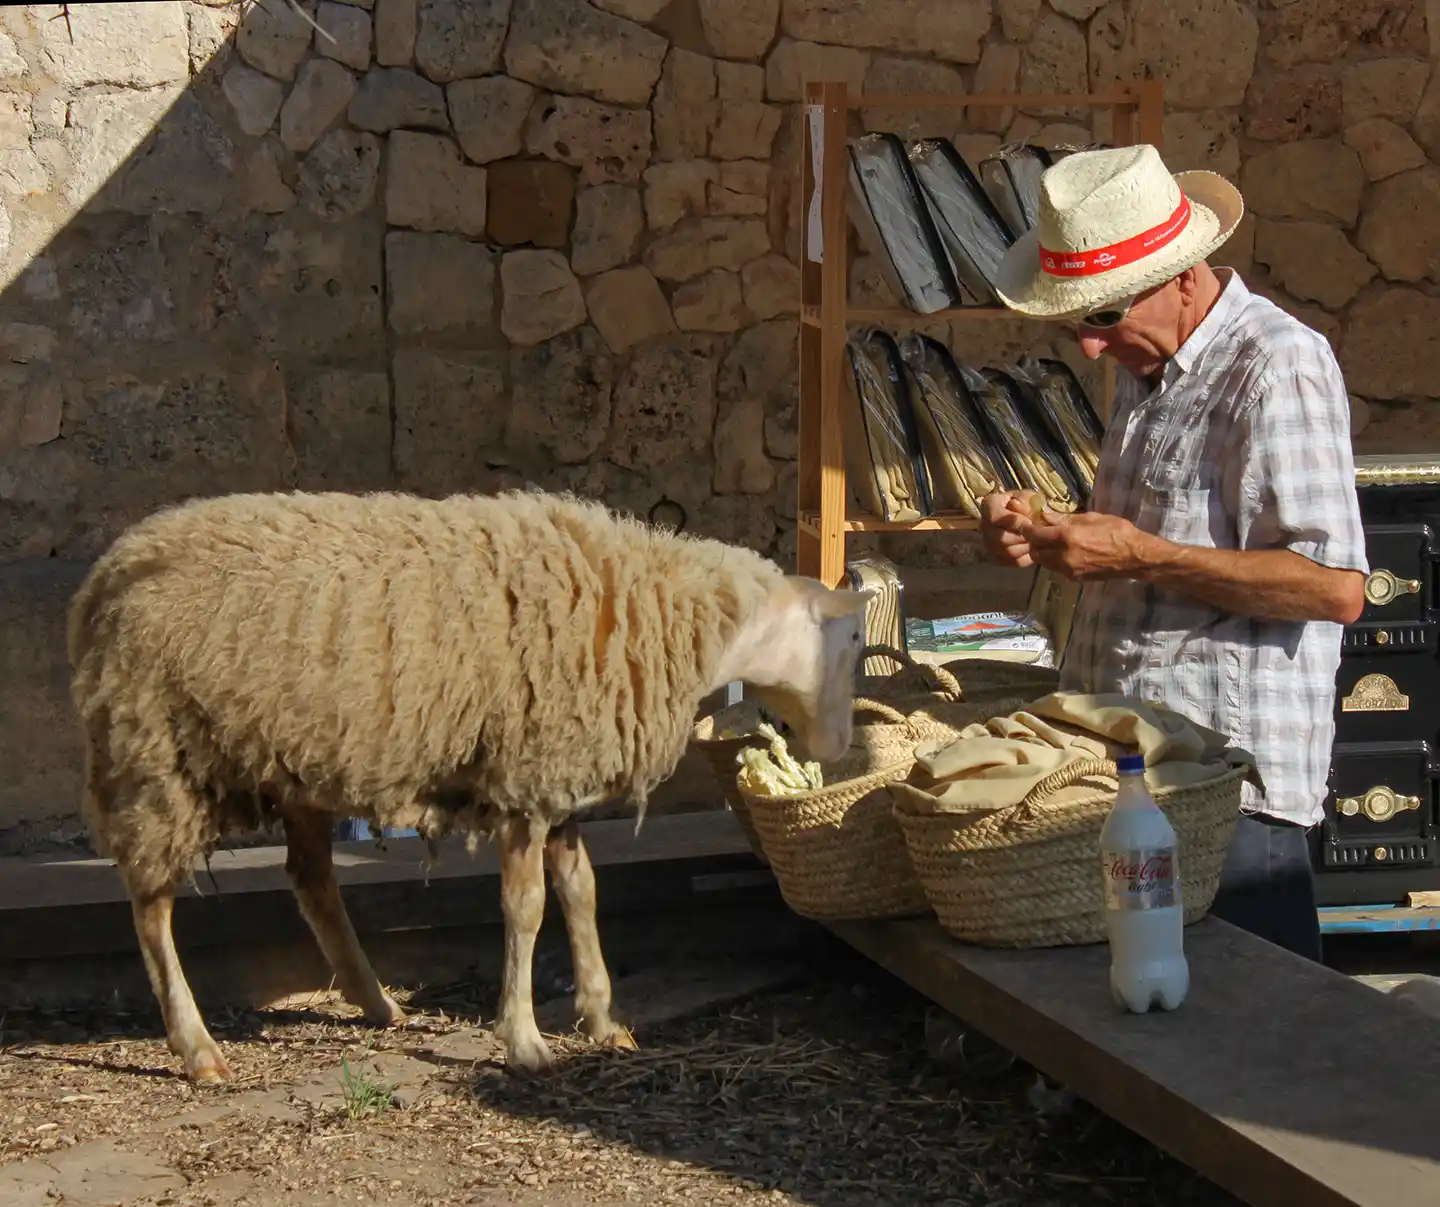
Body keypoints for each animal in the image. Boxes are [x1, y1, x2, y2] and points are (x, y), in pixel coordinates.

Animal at [68, 486, 869, 1082]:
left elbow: (582, 893)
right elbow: (526, 908)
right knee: (151, 908)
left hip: (292, 765)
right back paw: (197, 1047)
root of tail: (104, 576)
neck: (668, 613)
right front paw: (524, 1039)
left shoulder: (558, 776)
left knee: (311, 880)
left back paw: (376, 1002)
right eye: (856, 639)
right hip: (155, 757)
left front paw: (603, 1019)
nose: (839, 747)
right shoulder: (525, 779)